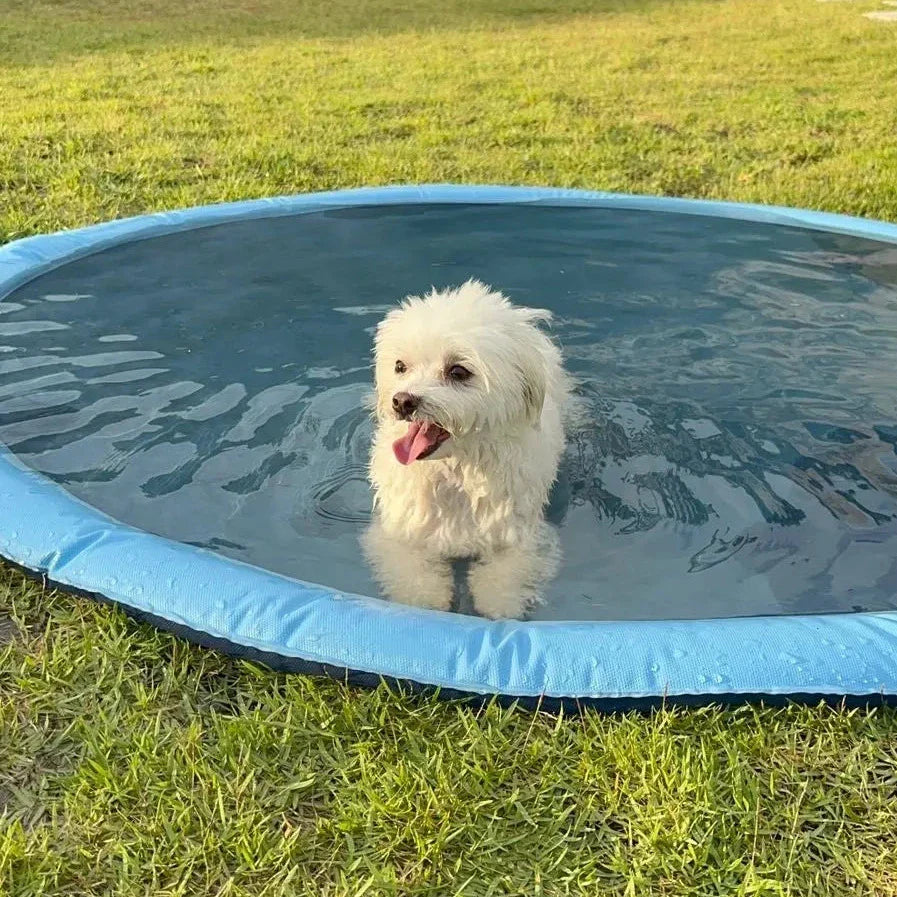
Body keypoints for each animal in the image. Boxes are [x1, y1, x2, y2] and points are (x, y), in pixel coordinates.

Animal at [360, 280, 572, 616]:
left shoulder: (517, 535)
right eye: (400, 366)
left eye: (458, 372)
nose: (402, 401)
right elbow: (413, 572)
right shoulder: (402, 532)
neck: (456, 472)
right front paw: (426, 601)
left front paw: (500, 606)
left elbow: (507, 575)